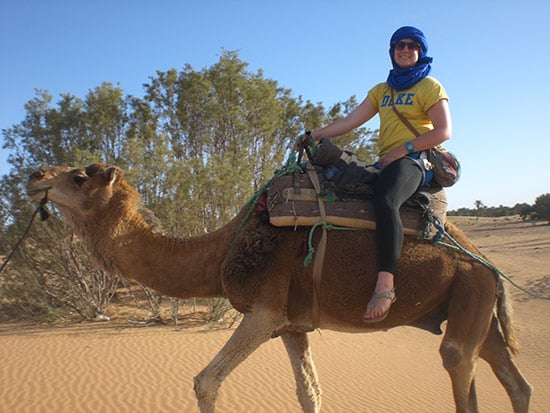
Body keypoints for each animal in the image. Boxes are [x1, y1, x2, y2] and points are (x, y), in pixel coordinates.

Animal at [27, 163, 536, 410]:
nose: (33, 177)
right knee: (515, 382)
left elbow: (204, 382)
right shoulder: (292, 325)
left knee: (458, 363)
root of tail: (488, 263)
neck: (222, 251)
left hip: (468, 292)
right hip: (474, 305)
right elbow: (309, 392)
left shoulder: (263, 312)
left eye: (78, 177)